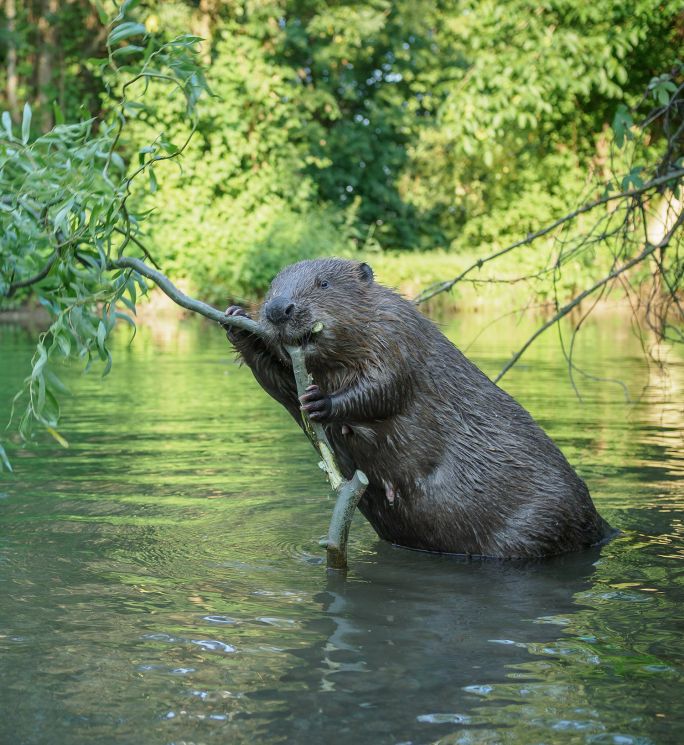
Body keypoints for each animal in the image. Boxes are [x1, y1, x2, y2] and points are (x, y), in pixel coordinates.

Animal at [223, 258, 608, 556]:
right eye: (272, 286)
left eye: (324, 282)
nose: (277, 309)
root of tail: (602, 527)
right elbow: (280, 383)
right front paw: (235, 320)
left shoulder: (398, 333)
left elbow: (385, 385)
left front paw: (321, 401)